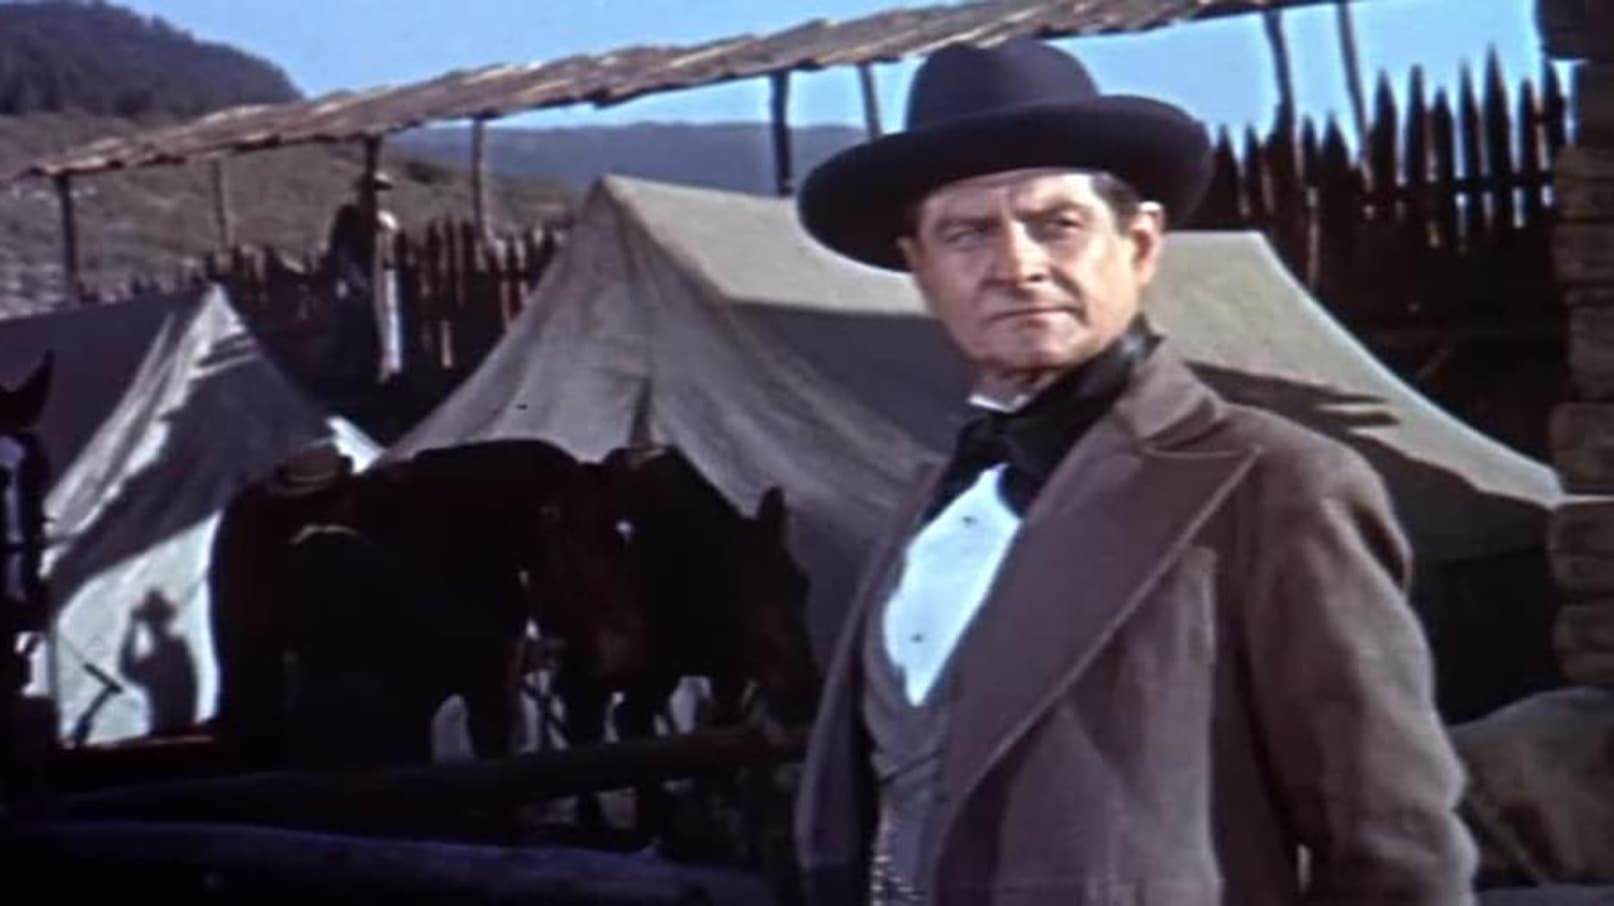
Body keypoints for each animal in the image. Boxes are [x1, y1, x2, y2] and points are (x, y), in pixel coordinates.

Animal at [551, 444, 821, 837]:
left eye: (803, 583)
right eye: (737, 587)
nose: (806, 689)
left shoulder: (727, 671)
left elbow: (721, 730)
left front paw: (712, 808)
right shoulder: (657, 665)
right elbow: (635, 729)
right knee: (591, 722)